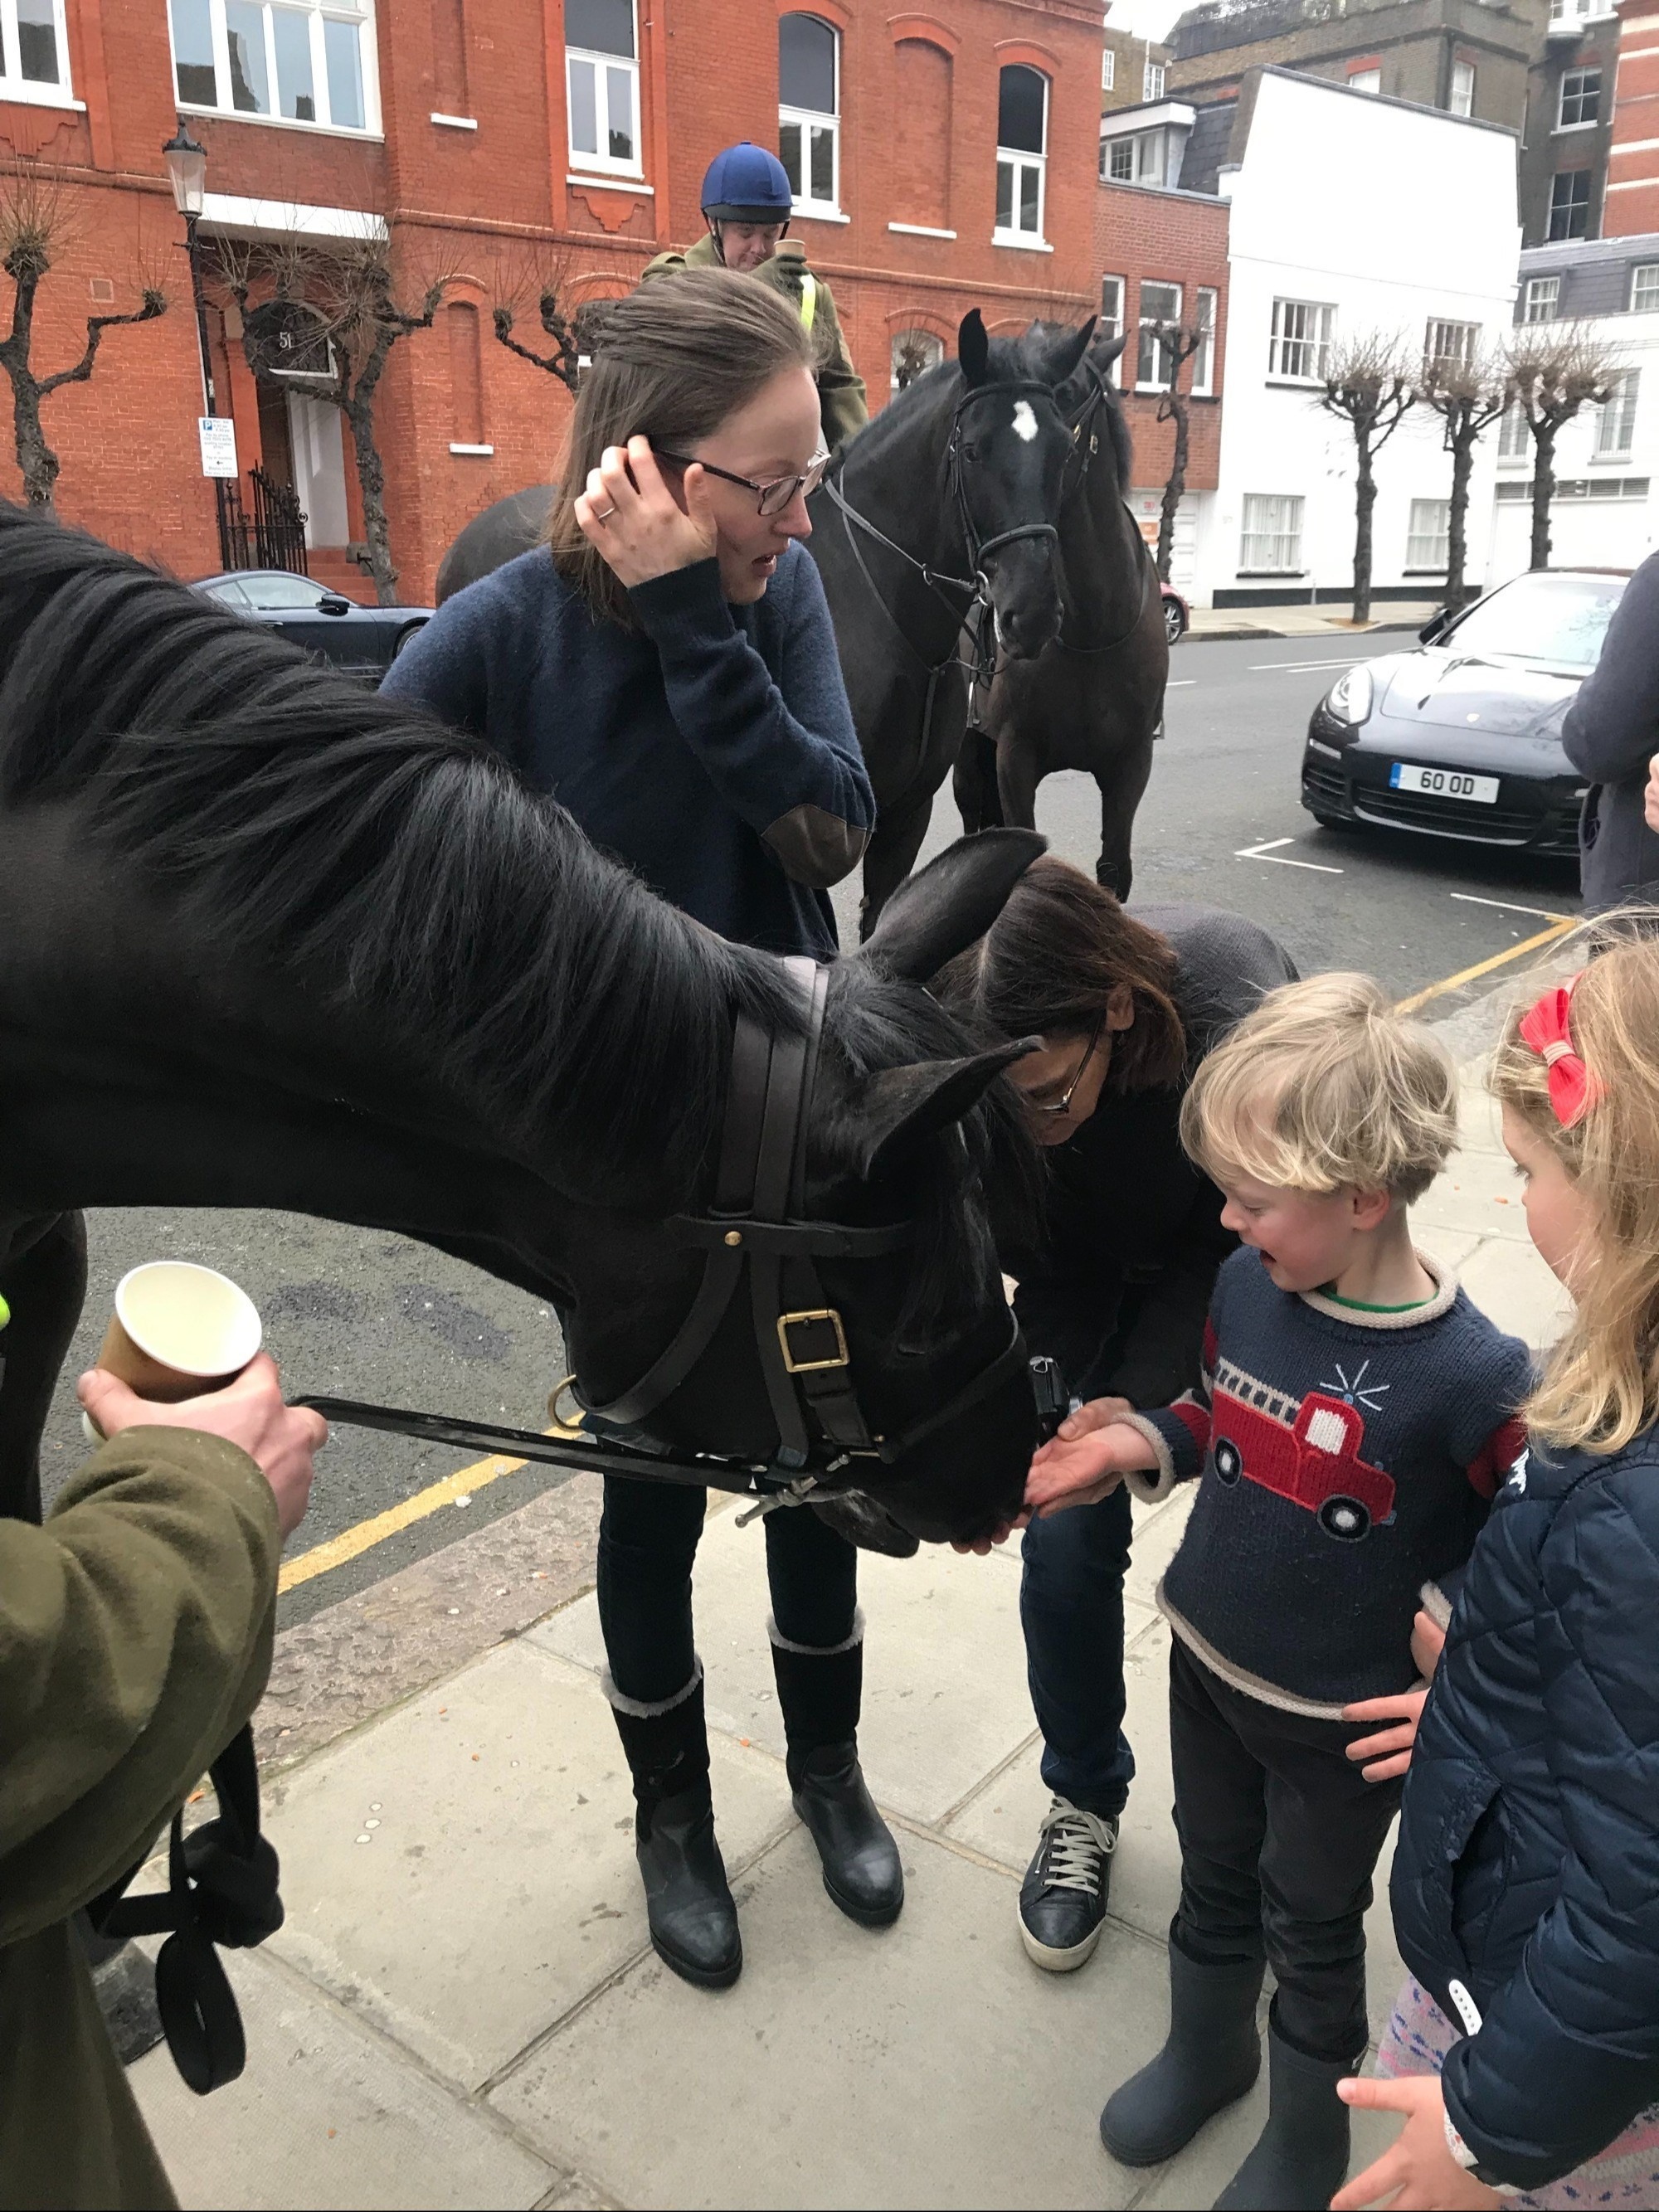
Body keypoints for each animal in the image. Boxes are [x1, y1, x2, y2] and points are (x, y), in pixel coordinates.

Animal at [956, 332, 1176, 902]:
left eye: (1066, 396)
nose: (1025, 614)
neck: (1091, 629)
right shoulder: (1014, 756)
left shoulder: (1130, 765)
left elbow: (1114, 869)